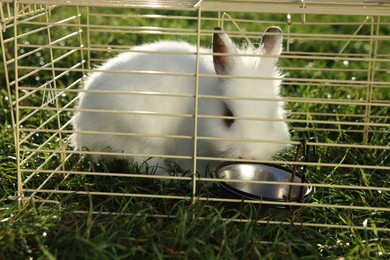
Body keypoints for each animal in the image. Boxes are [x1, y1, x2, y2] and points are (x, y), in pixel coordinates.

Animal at [70, 26, 290, 176]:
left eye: (272, 119)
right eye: (228, 117)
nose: (247, 155)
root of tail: (81, 132)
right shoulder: (187, 147)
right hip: (138, 134)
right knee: (148, 166)